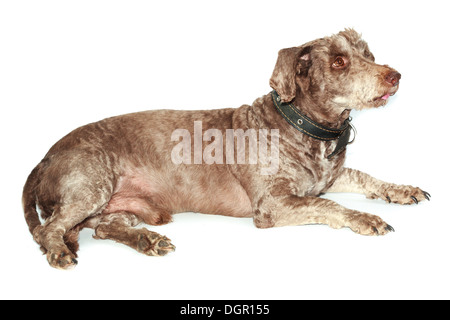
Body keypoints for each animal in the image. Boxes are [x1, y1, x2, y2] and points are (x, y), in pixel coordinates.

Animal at [23, 29, 428, 270]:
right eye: (339, 61)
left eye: (369, 53)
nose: (395, 75)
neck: (305, 127)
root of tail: (43, 159)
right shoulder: (273, 205)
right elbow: (330, 207)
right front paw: (365, 218)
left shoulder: (327, 178)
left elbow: (365, 176)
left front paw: (400, 189)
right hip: (91, 186)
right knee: (49, 229)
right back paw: (59, 251)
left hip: (122, 208)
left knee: (106, 229)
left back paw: (147, 240)